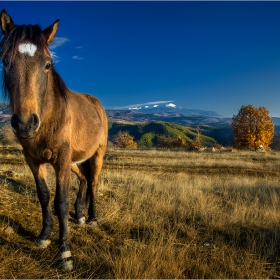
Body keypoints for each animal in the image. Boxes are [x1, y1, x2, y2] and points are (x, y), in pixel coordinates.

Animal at [0, 9, 107, 270]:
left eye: (47, 64)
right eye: (5, 62)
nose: (25, 124)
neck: (49, 118)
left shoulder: (61, 160)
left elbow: (60, 202)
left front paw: (65, 254)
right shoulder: (33, 160)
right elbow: (44, 196)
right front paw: (43, 237)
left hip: (95, 155)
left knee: (94, 182)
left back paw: (92, 218)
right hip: (75, 161)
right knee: (84, 180)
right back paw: (80, 215)